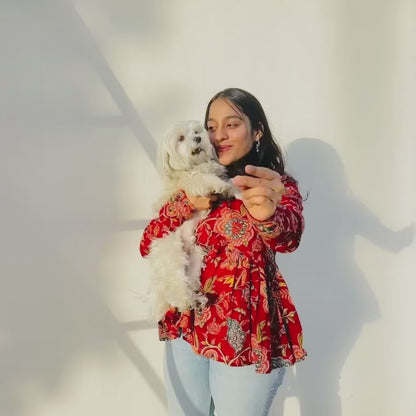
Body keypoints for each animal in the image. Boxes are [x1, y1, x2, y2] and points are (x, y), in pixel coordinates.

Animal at [146, 119, 234, 322]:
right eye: (180, 138)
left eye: (196, 131)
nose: (198, 138)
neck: (194, 166)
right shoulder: (192, 183)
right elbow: (206, 179)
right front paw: (221, 186)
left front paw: (233, 187)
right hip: (173, 257)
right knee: (177, 289)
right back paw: (186, 302)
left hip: (195, 259)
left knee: (190, 283)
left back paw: (198, 299)